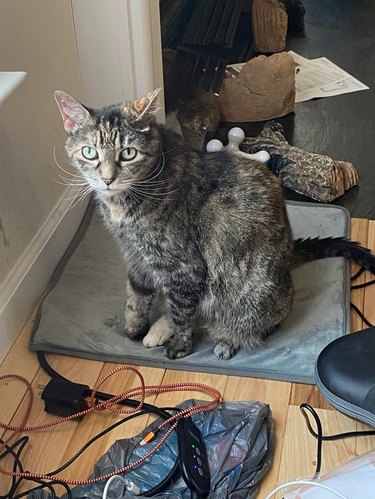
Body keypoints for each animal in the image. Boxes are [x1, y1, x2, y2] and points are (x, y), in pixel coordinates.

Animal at [54, 90, 375, 362]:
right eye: (89, 152)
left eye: (128, 153)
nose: (107, 179)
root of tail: (288, 258)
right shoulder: (135, 255)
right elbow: (136, 293)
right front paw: (134, 326)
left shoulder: (184, 267)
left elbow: (182, 312)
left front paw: (180, 345)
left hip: (255, 294)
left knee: (253, 321)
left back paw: (226, 340)